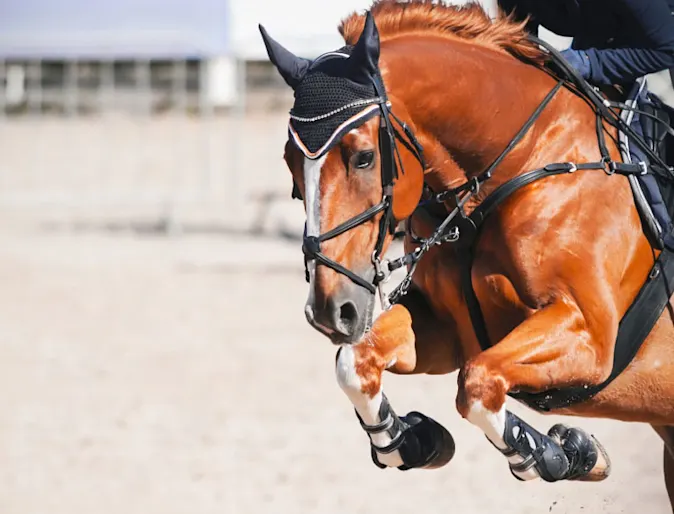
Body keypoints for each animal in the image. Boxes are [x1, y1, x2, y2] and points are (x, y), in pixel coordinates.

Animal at [259, 0, 674, 504]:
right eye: (290, 163)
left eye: (363, 157)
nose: (329, 310)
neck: (521, 158)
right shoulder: (447, 330)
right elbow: (355, 363)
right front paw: (410, 441)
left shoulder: (590, 337)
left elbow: (477, 383)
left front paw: (563, 453)